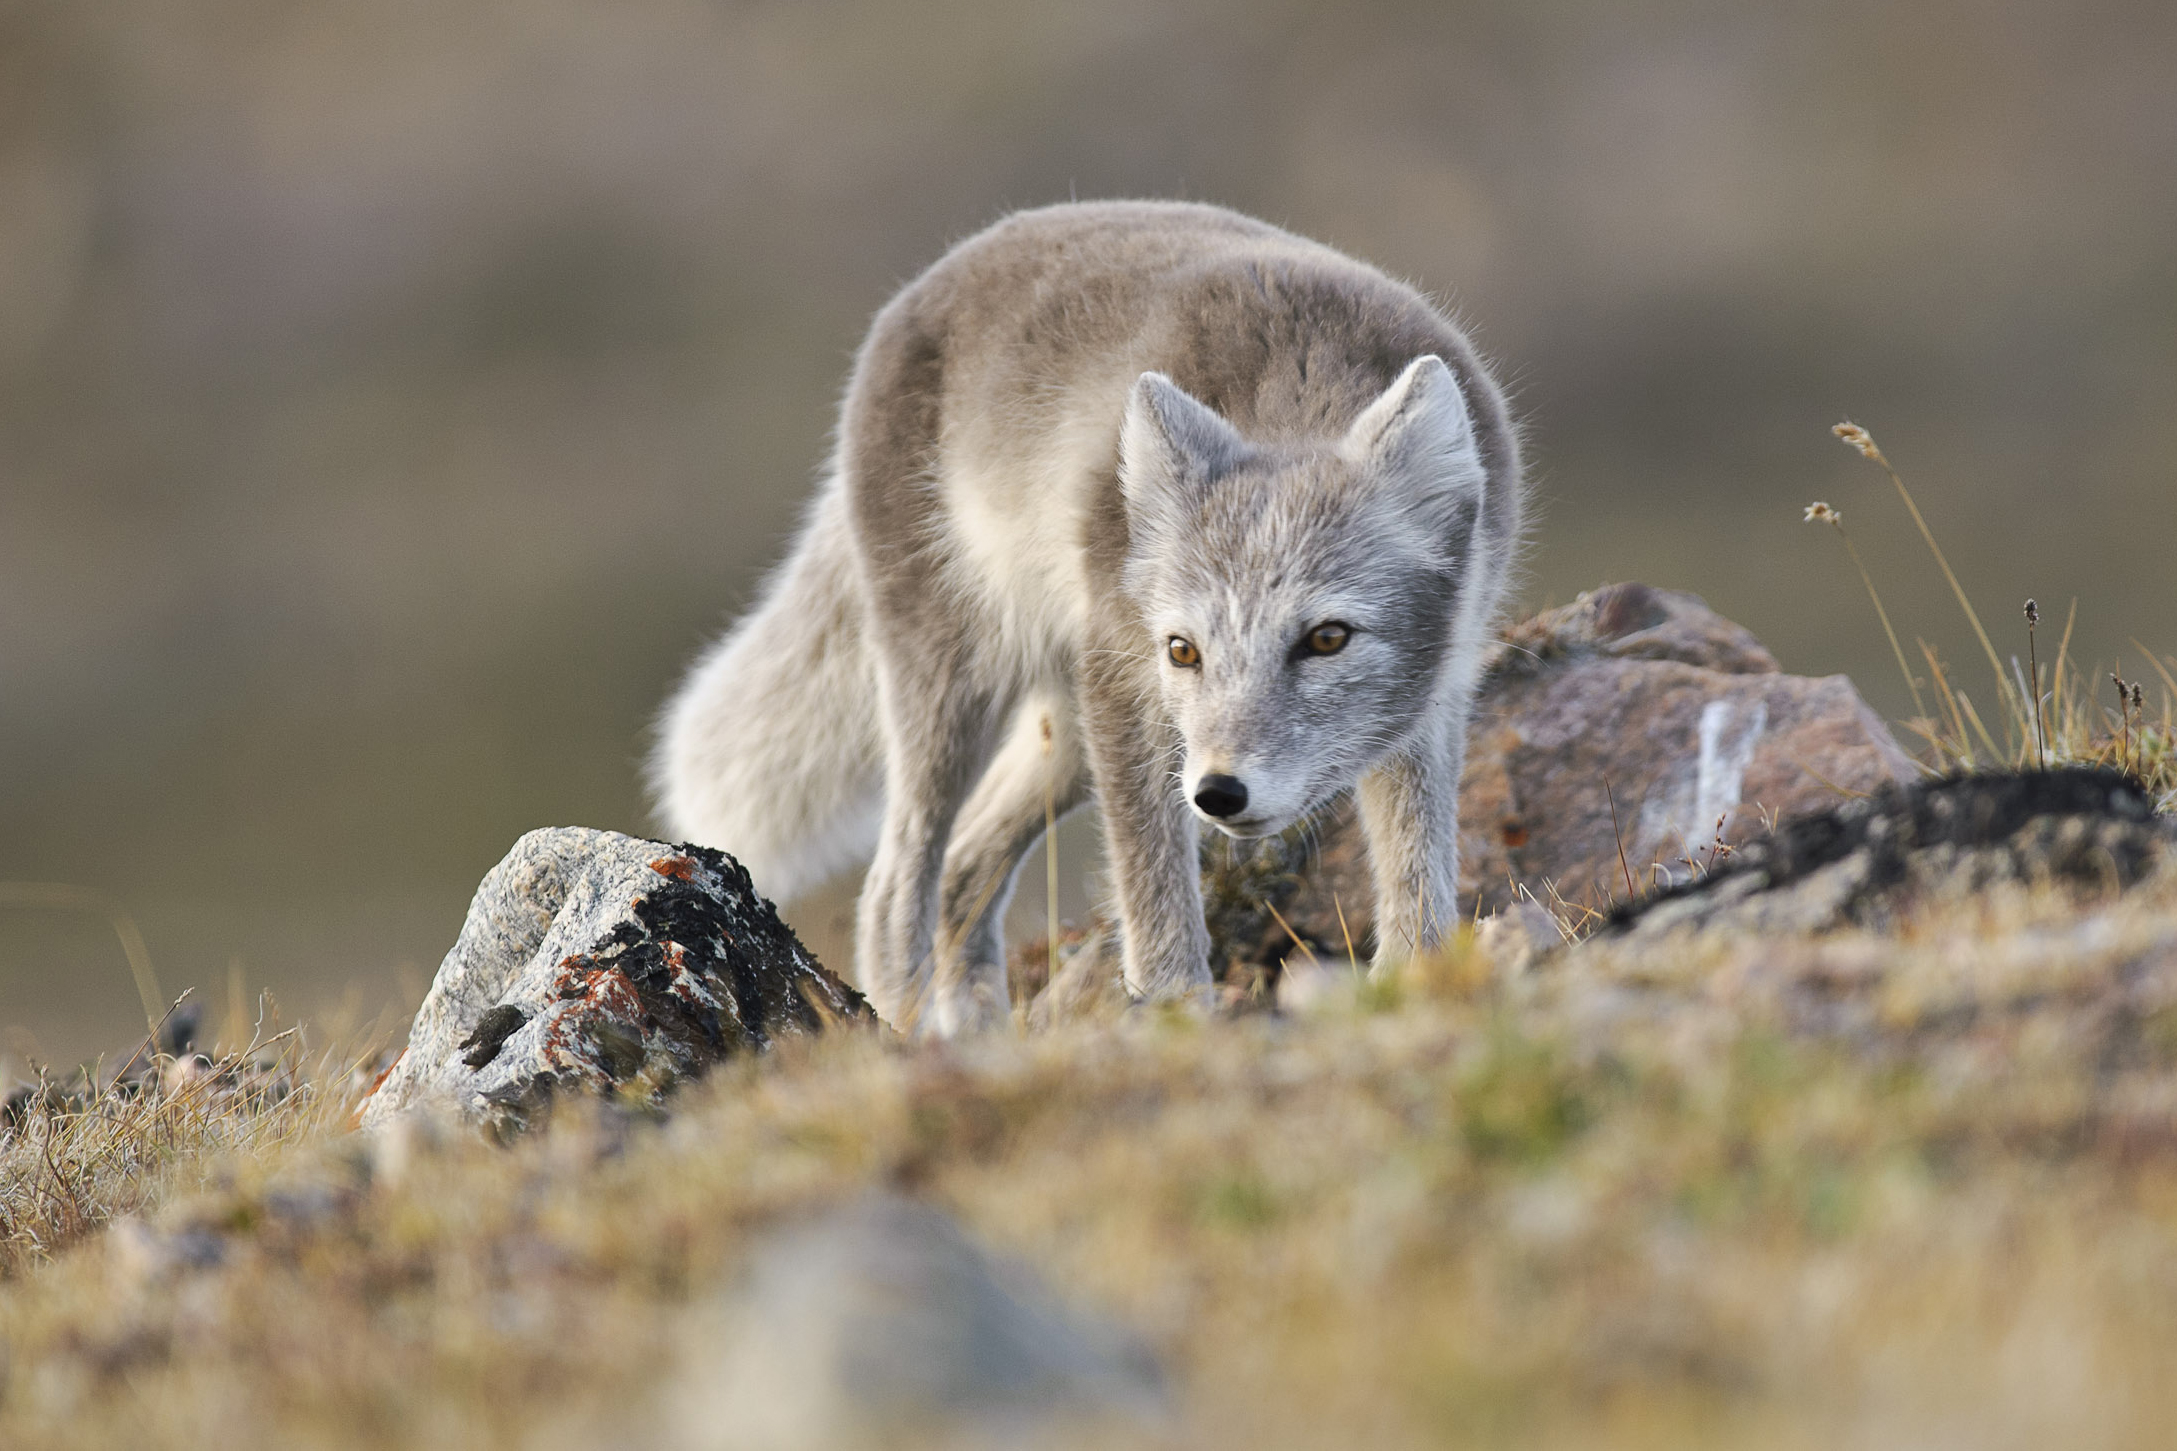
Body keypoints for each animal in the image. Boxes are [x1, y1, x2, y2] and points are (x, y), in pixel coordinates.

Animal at [653, 201, 1523, 1031]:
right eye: (1183, 649)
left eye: (1327, 638)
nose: (1218, 793)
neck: (1296, 390)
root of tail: (924, 283)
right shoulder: (1128, 683)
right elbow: (1153, 886)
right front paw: (1177, 1016)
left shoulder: (1438, 697)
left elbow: (1416, 867)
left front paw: (1420, 987)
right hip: (963, 686)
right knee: (895, 886)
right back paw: (907, 1039)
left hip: (1067, 731)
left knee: (963, 866)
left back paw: (978, 1031)